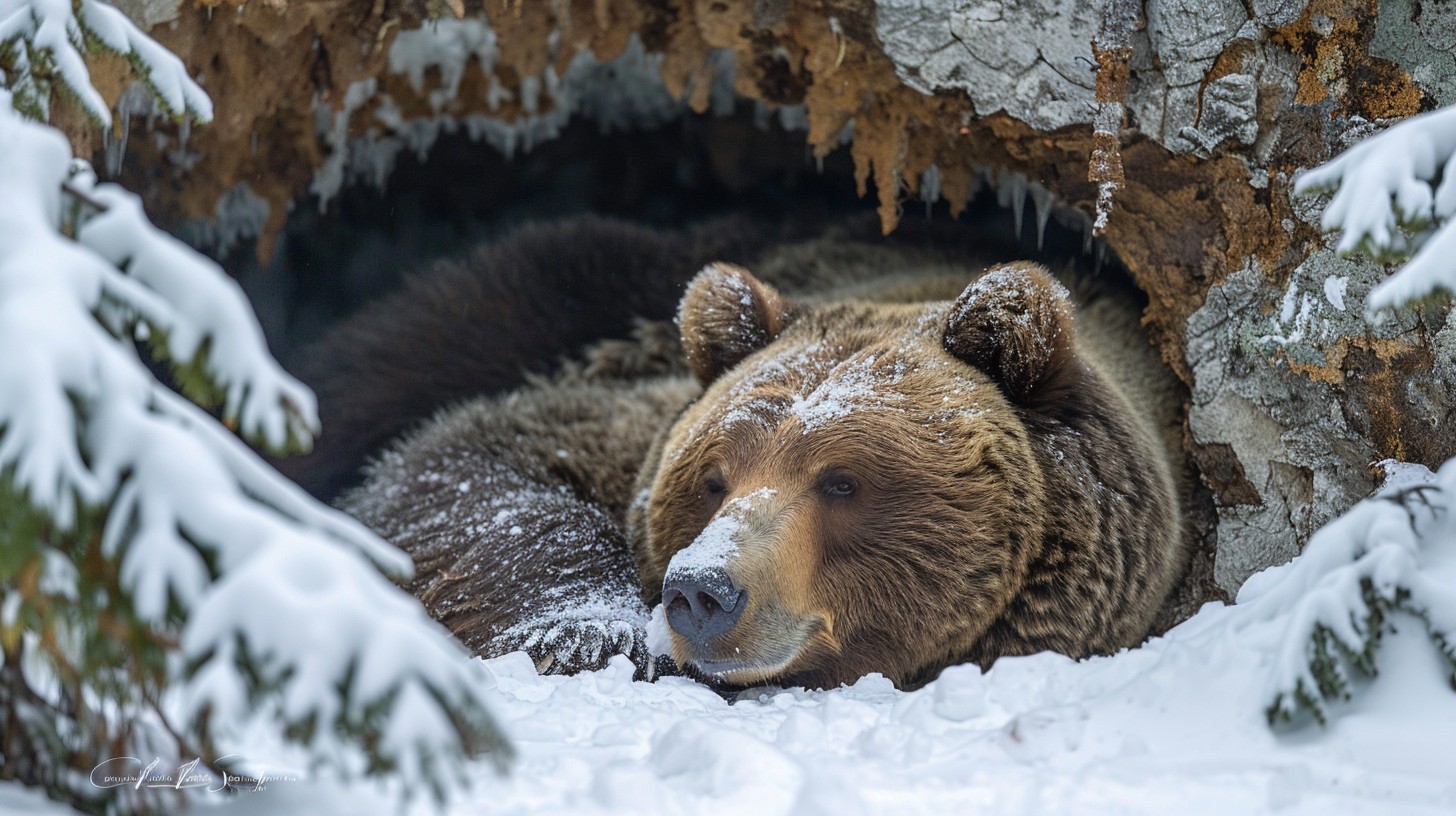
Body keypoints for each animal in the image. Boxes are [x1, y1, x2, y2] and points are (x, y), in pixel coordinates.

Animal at [295, 214, 1197, 691]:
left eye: (842, 482)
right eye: (713, 478)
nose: (702, 590)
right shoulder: (626, 412)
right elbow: (468, 467)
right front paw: (590, 631)